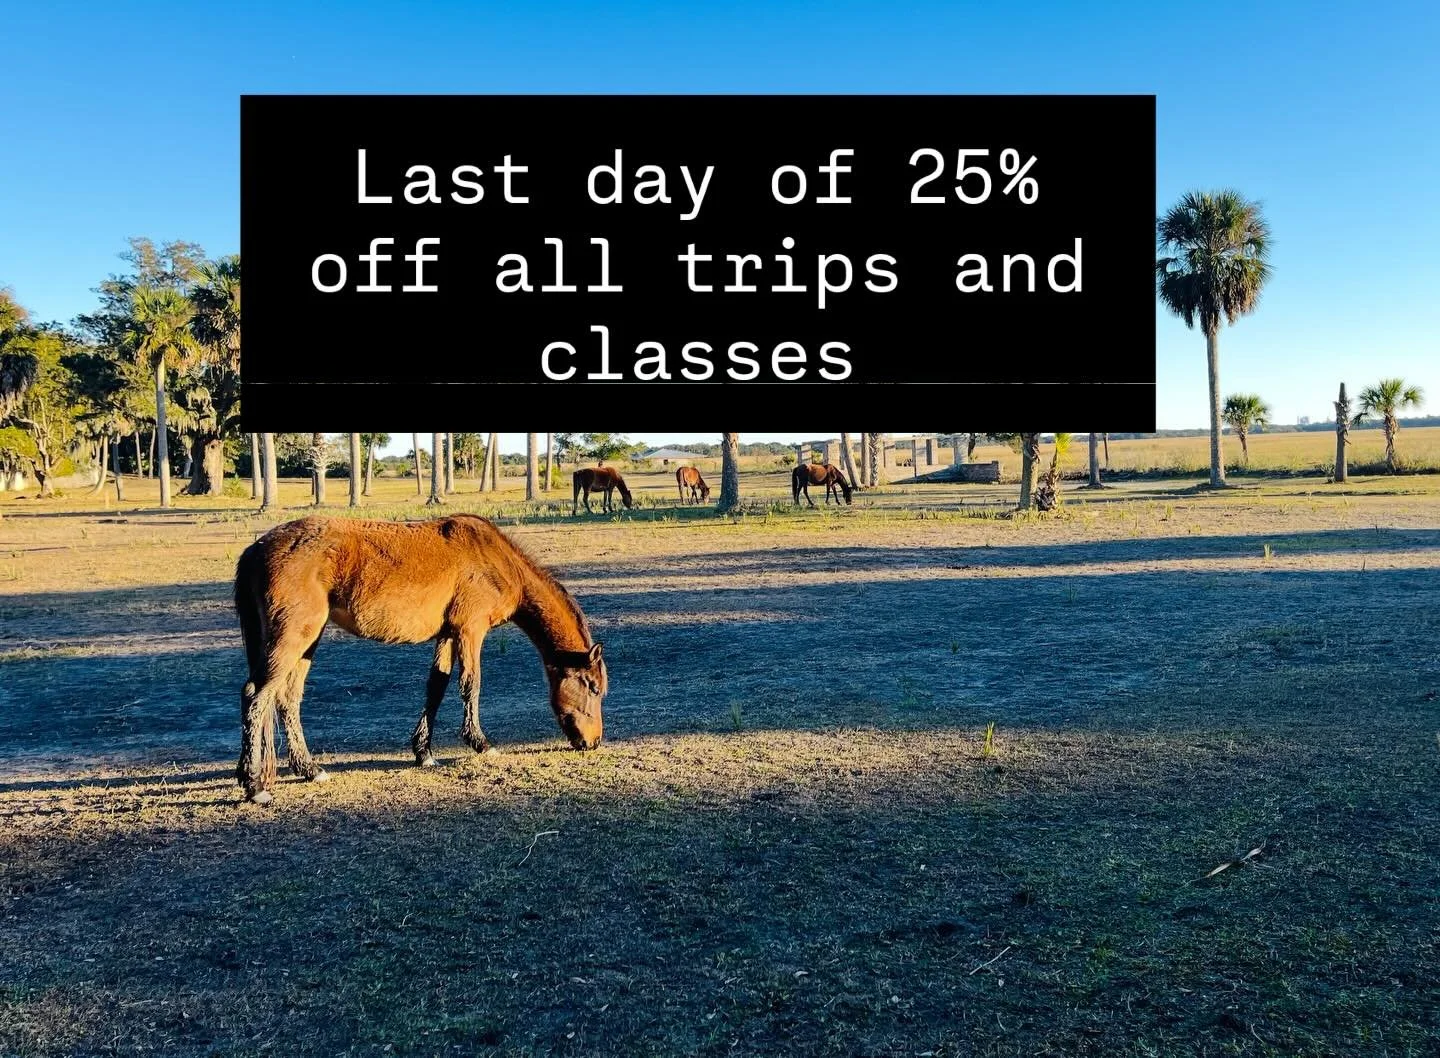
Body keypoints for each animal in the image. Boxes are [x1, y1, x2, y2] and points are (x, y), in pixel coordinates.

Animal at [232, 515, 607, 804]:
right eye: (592, 687)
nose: (593, 742)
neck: (495, 560)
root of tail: (256, 550)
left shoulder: (447, 634)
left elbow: (436, 687)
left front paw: (424, 753)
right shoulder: (470, 630)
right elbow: (471, 684)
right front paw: (481, 744)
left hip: (306, 640)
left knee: (286, 698)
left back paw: (307, 770)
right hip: (294, 636)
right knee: (257, 695)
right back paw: (255, 787)